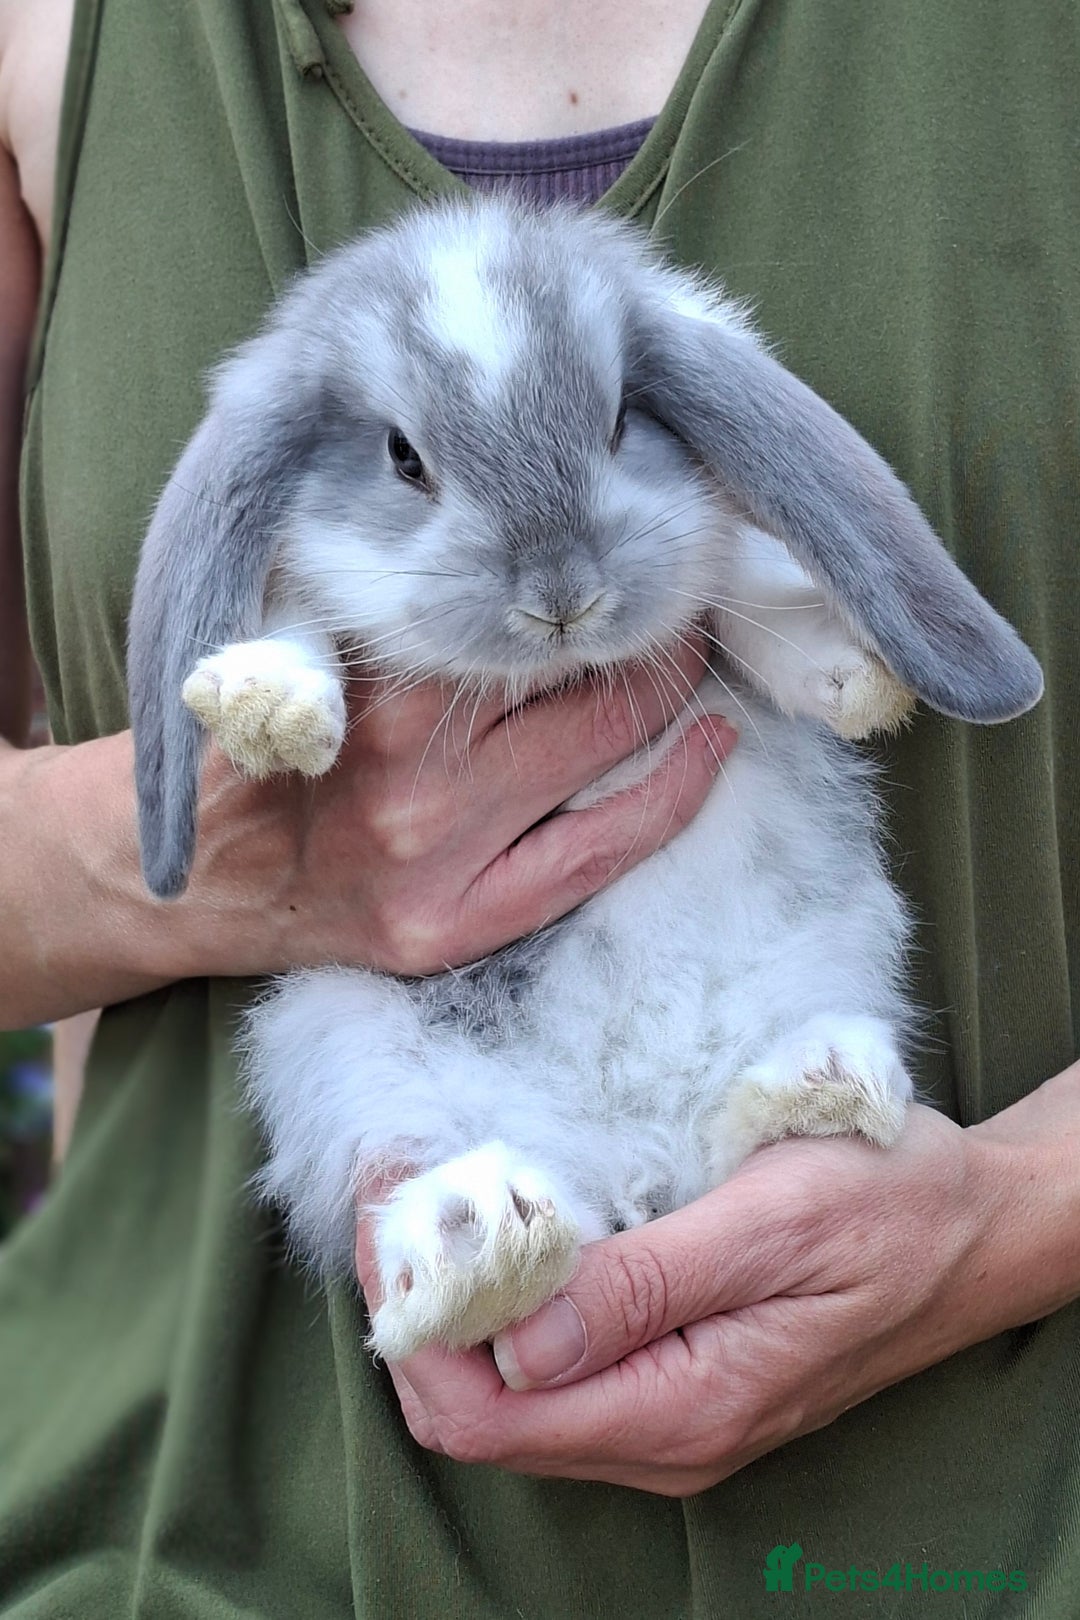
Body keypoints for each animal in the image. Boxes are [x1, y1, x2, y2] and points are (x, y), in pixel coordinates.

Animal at [127, 198, 1042, 1359]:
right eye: (404, 458)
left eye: (615, 423)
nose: (562, 595)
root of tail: (630, 1151)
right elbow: (294, 619)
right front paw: (266, 704)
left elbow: (735, 597)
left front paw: (856, 678)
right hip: (339, 1051)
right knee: (431, 1183)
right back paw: (481, 1243)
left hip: (830, 953)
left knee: (730, 1138)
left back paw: (816, 1086)